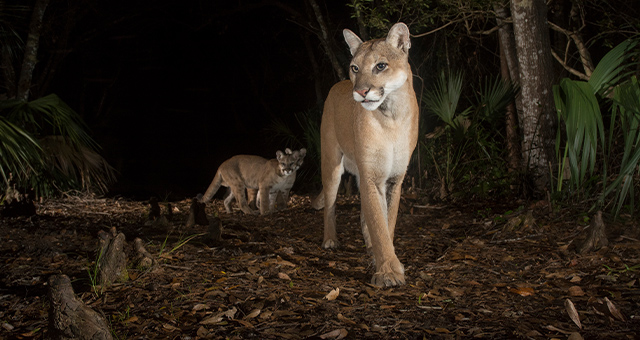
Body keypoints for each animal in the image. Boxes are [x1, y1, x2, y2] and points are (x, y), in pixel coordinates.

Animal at [314, 21, 420, 286]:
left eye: (380, 65)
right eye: (355, 68)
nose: (361, 91)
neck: (391, 116)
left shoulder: (394, 178)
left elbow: (385, 222)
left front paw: (384, 260)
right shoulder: (372, 174)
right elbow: (378, 222)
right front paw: (388, 271)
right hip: (331, 162)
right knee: (330, 204)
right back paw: (330, 240)